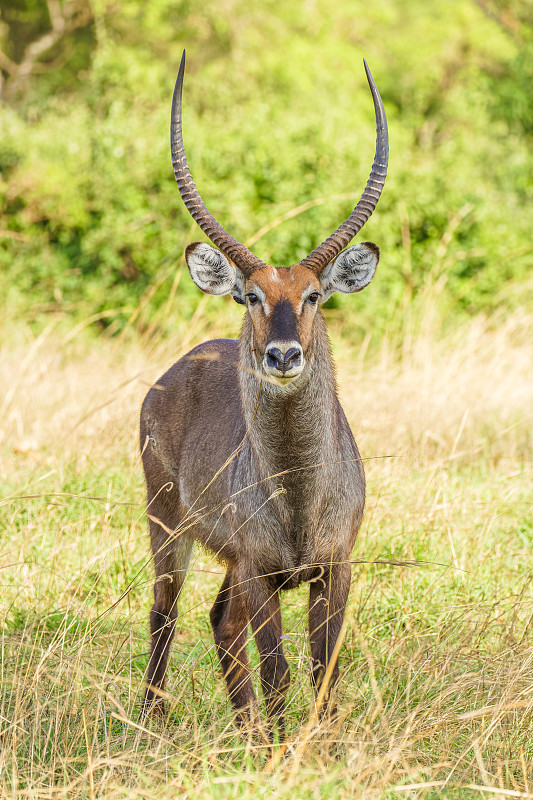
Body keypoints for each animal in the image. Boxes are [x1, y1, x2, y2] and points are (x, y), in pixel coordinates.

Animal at [141, 51, 388, 736]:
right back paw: (152, 723)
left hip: (224, 558)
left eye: (314, 295)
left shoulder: (335, 569)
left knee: (218, 623)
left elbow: (323, 675)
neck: (299, 499)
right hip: (167, 525)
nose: (282, 355)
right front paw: (283, 748)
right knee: (165, 613)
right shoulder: (261, 574)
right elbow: (279, 675)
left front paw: (316, 745)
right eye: (249, 295)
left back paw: (242, 729)